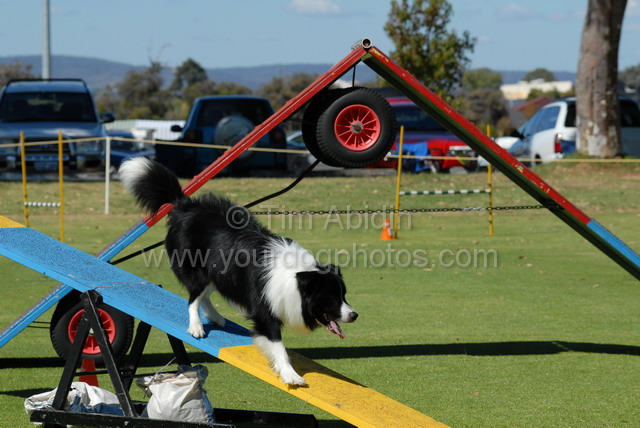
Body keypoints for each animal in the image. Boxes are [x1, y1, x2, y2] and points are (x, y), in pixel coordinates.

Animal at [119, 157, 357, 385]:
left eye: (344, 295)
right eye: (332, 297)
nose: (354, 315)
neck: (296, 279)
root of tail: (185, 203)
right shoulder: (265, 311)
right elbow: (278, 346)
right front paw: (291, 375)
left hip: (219, 272)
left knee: (204, 295)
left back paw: (216, 318)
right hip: (198, 270)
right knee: (193, 298)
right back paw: (196, 326)